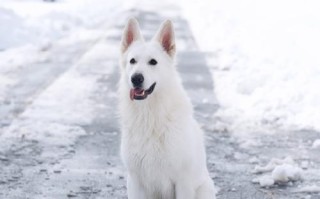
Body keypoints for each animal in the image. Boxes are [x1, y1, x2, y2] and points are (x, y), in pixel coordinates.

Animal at [117, 17, 215, 198]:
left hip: (204, 188)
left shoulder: (183, 182)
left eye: (153, 62)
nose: (136, 78)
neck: (149, 115)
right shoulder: (135, 181)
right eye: (132, 61)